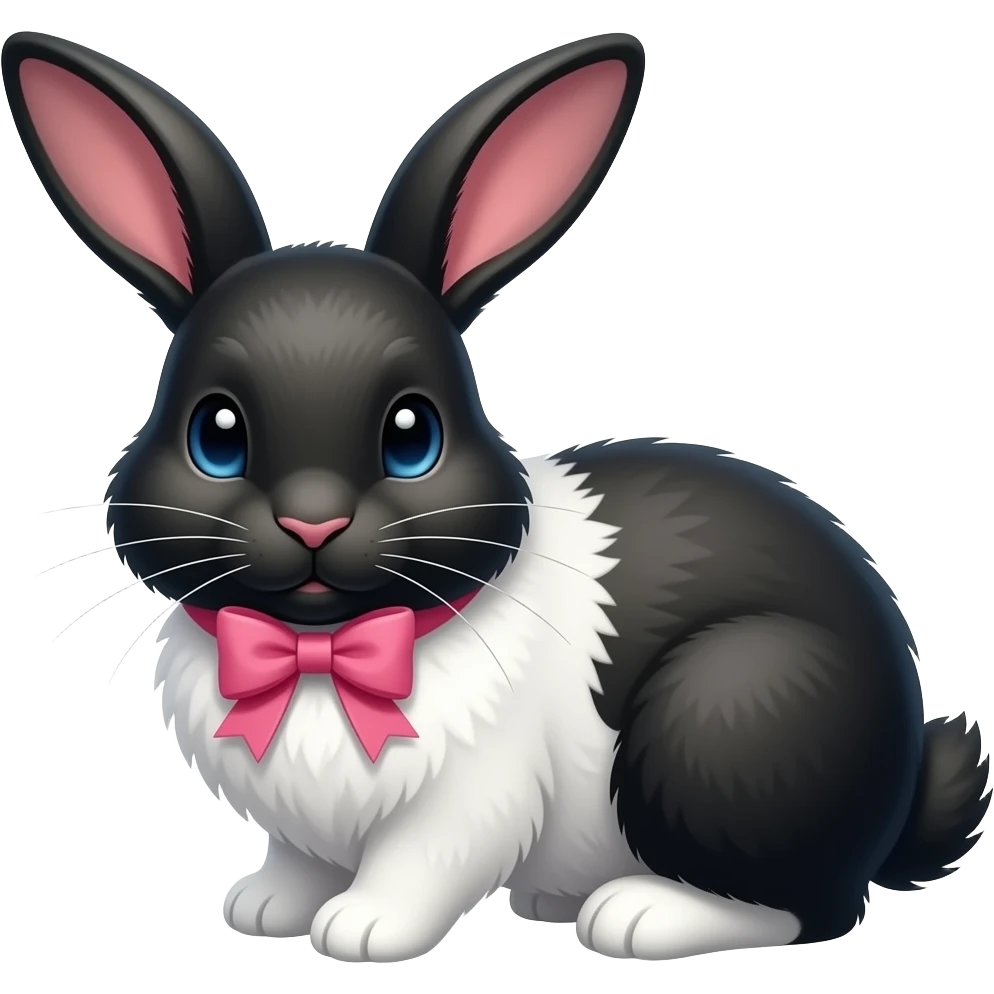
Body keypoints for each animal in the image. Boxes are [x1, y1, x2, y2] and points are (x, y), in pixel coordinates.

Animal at [7, 29, 990, 965]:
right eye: (215, 435)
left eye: (414, 435)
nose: (313, 521)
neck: (322, 653)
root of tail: (899, 790)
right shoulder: (308, 823)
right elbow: (301, 857)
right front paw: (264, 907)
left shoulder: (467, 802)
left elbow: (417, 865)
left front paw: (359, 931)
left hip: (730, 718)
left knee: (806, 907)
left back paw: (637, 915)